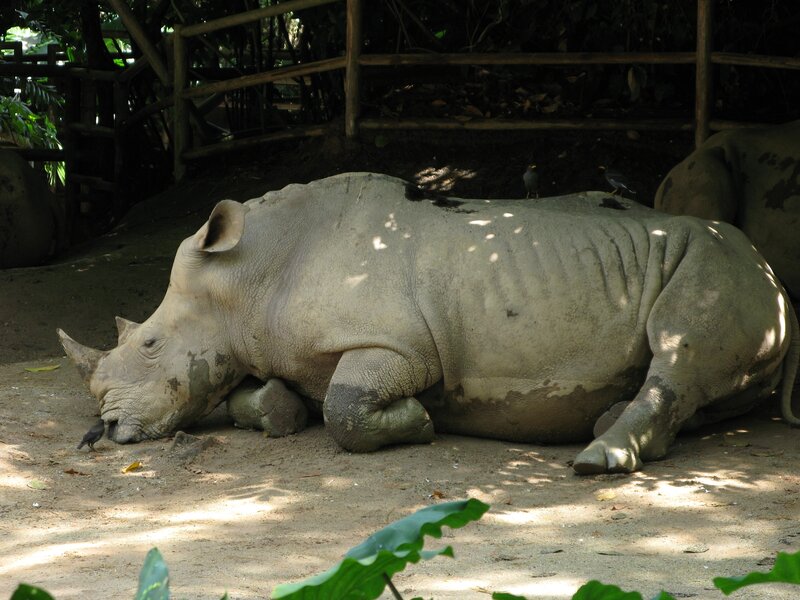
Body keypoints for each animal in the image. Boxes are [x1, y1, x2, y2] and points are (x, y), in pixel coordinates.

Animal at [58, 173, 800, 474]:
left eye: (150, 343)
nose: (104, 430)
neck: (248, 276)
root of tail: (778, 279)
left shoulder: (399, 346)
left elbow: (345, 408)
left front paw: (418, 420)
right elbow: (257, 395)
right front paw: (279, 411)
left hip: (717, 263)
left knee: (680, 345)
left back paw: (597, 458)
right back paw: (606, 422)